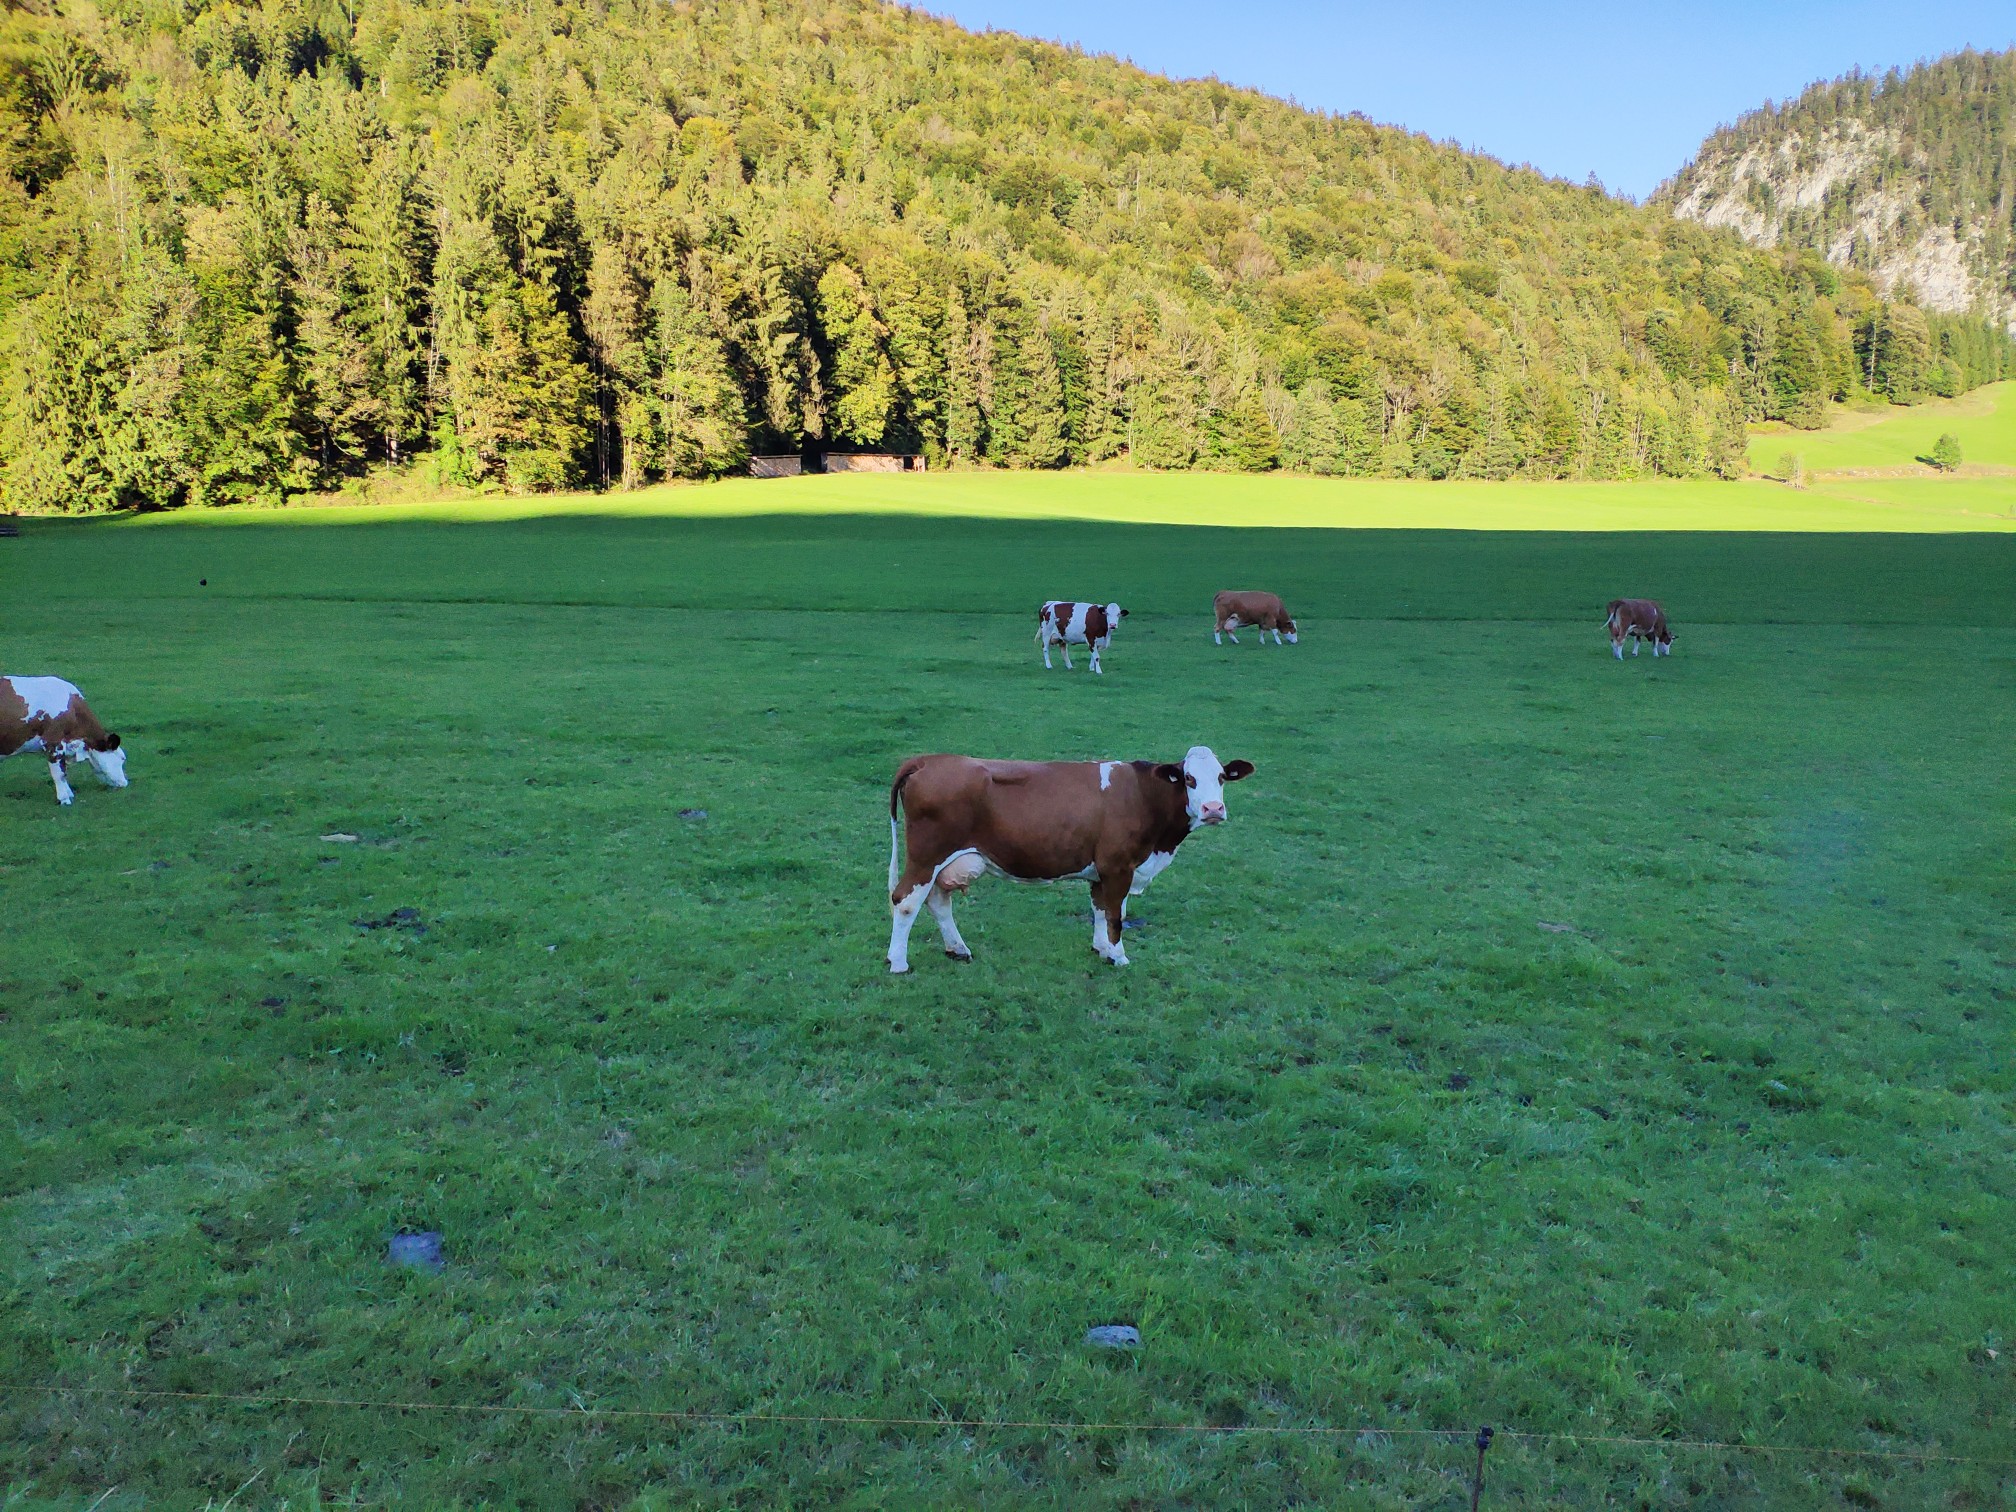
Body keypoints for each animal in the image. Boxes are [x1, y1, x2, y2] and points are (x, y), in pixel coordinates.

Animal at [1, 681, 129, 810]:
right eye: (122, 759)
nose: (125, 783)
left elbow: (64, 770)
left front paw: (69, 794)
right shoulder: (52, 741)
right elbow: (59, 773)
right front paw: (64, 799)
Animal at [887, 741, 1249, 971]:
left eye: (1221, 777)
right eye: (1189, 778)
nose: (1213, 809)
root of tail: (929, 760)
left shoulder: (1101, 870)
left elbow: (1100, 909)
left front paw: (1102, 950)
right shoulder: (1118, 865)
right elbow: (1116, 914)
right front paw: (1119, 957)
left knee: (937, 901)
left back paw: (958, 949)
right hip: (926, 855)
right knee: (905, 901)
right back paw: (898, 962)